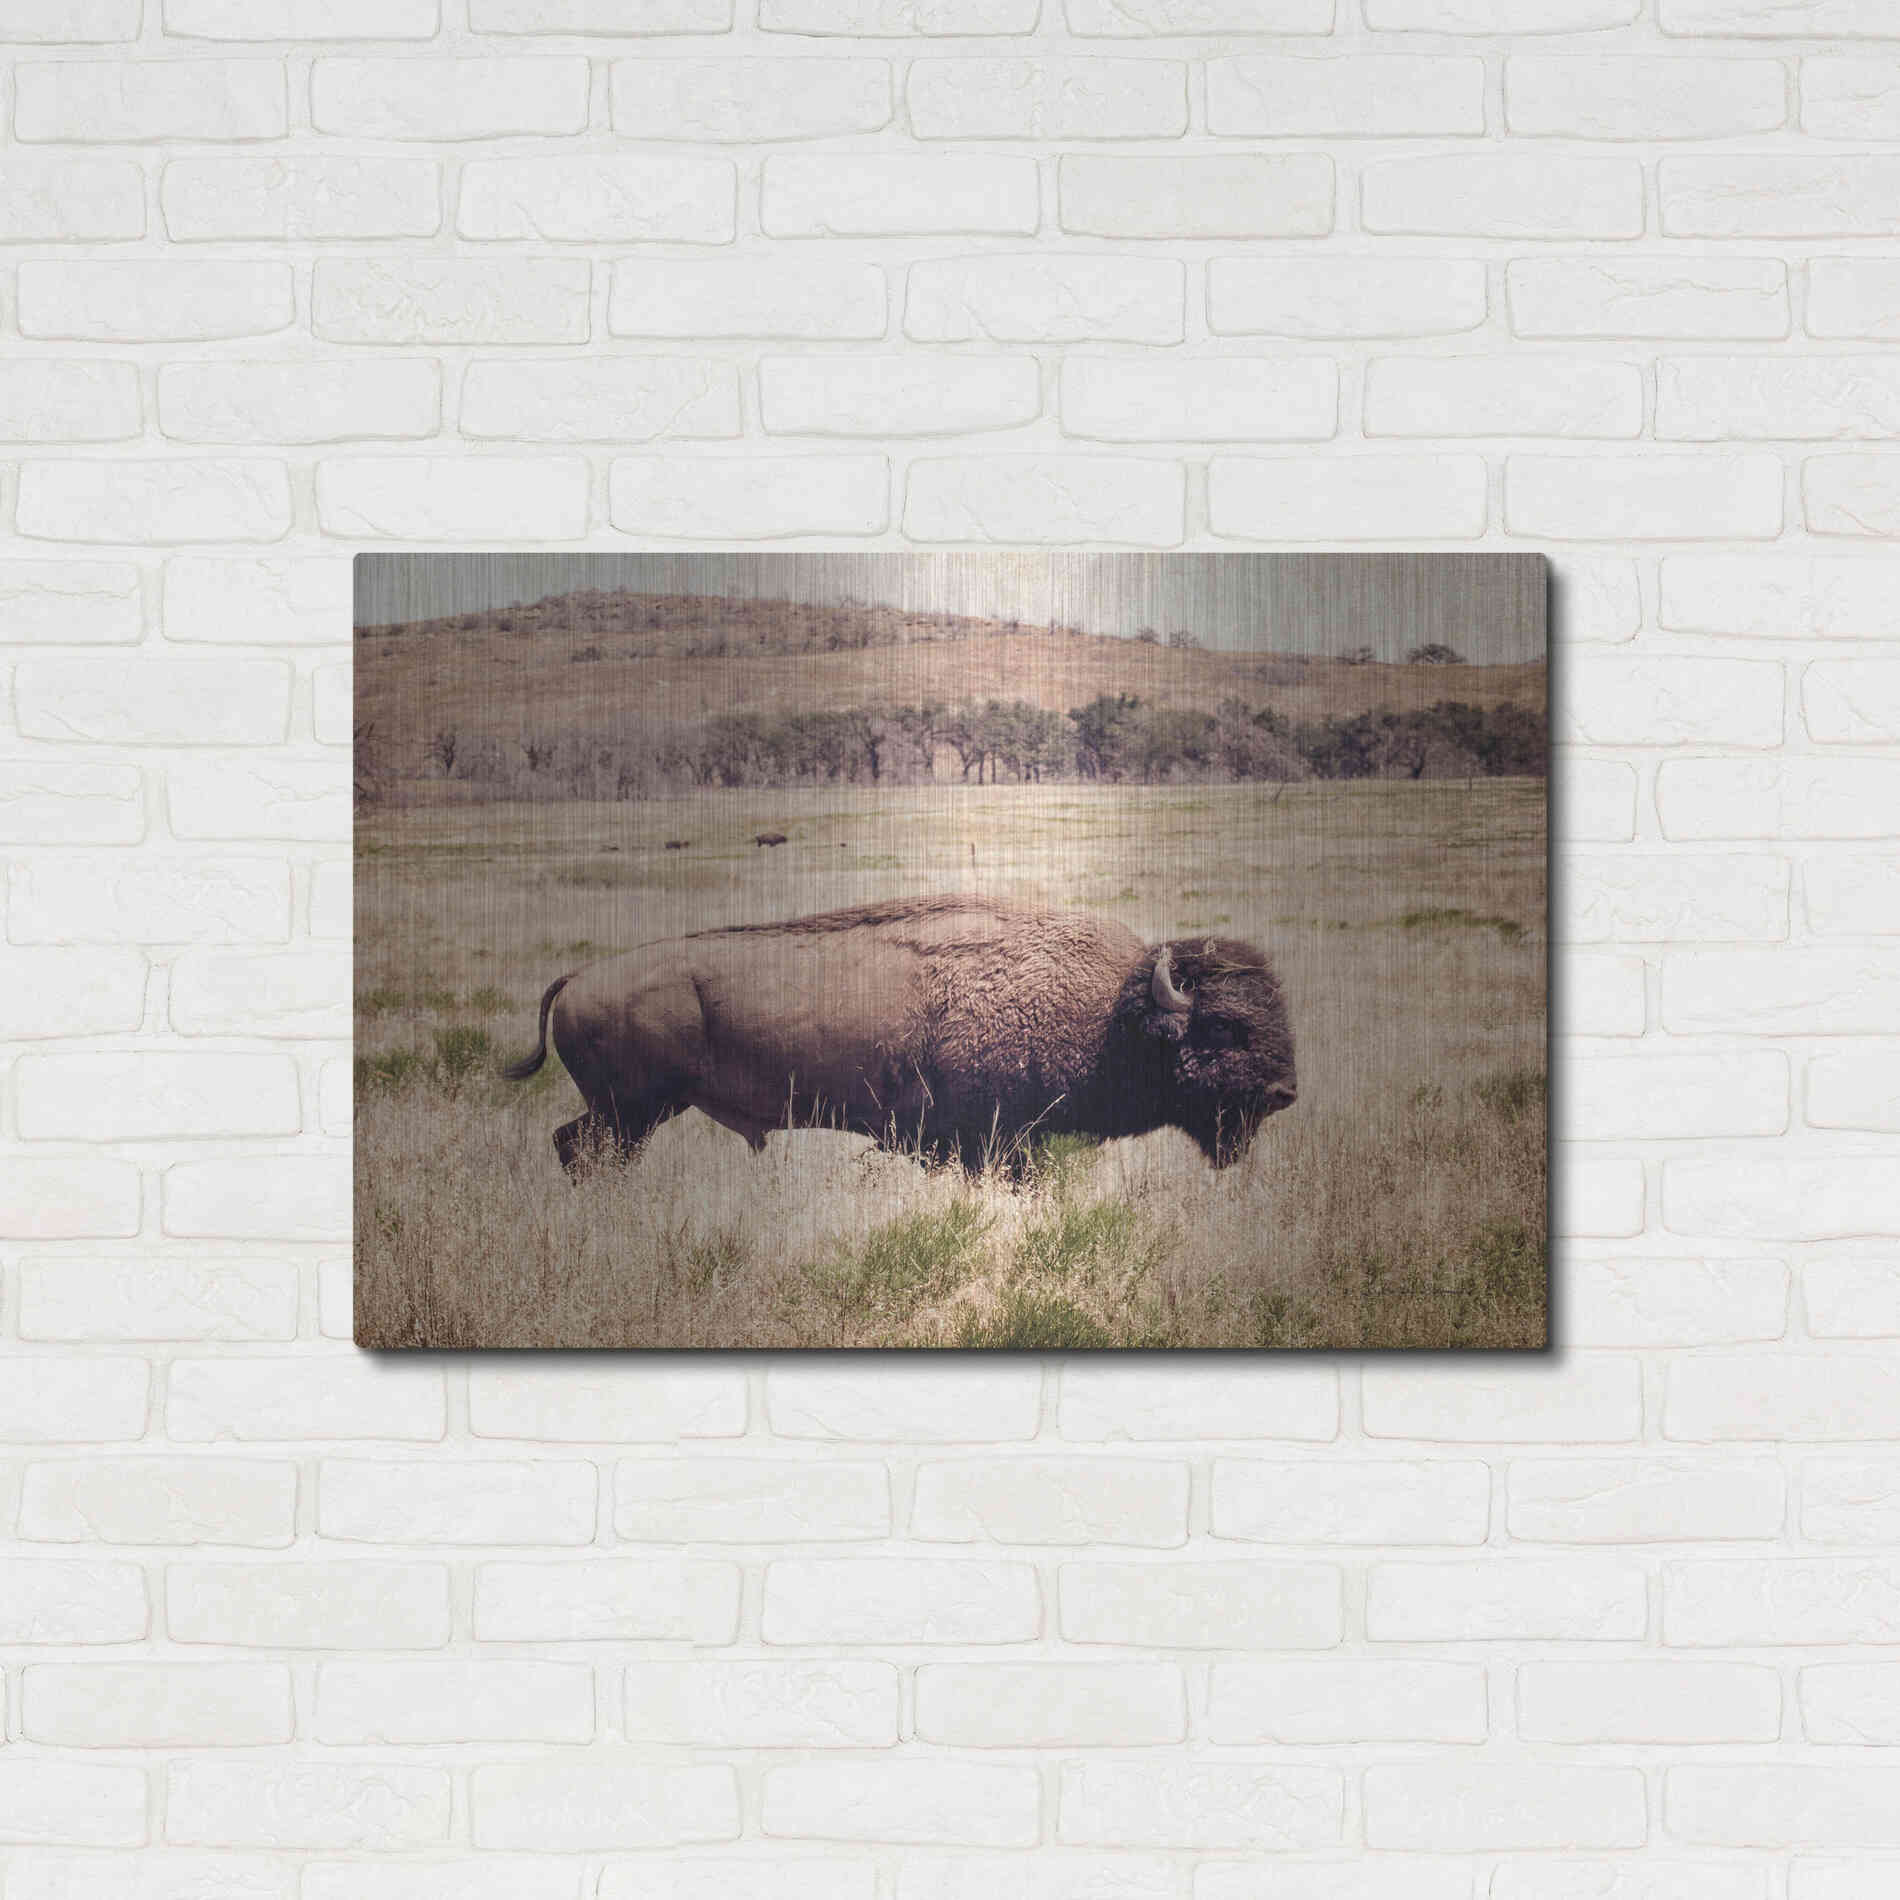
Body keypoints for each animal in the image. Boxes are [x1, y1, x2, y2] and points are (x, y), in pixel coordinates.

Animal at [505, 895, 1295, 1178]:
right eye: (1224, 1027)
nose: (1285, 1091)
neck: (1109, 1014)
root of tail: (579, 977)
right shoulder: (992, 1142)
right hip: (632, 1112)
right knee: (583, 1149)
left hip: (628, 1114)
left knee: (571, 1144)